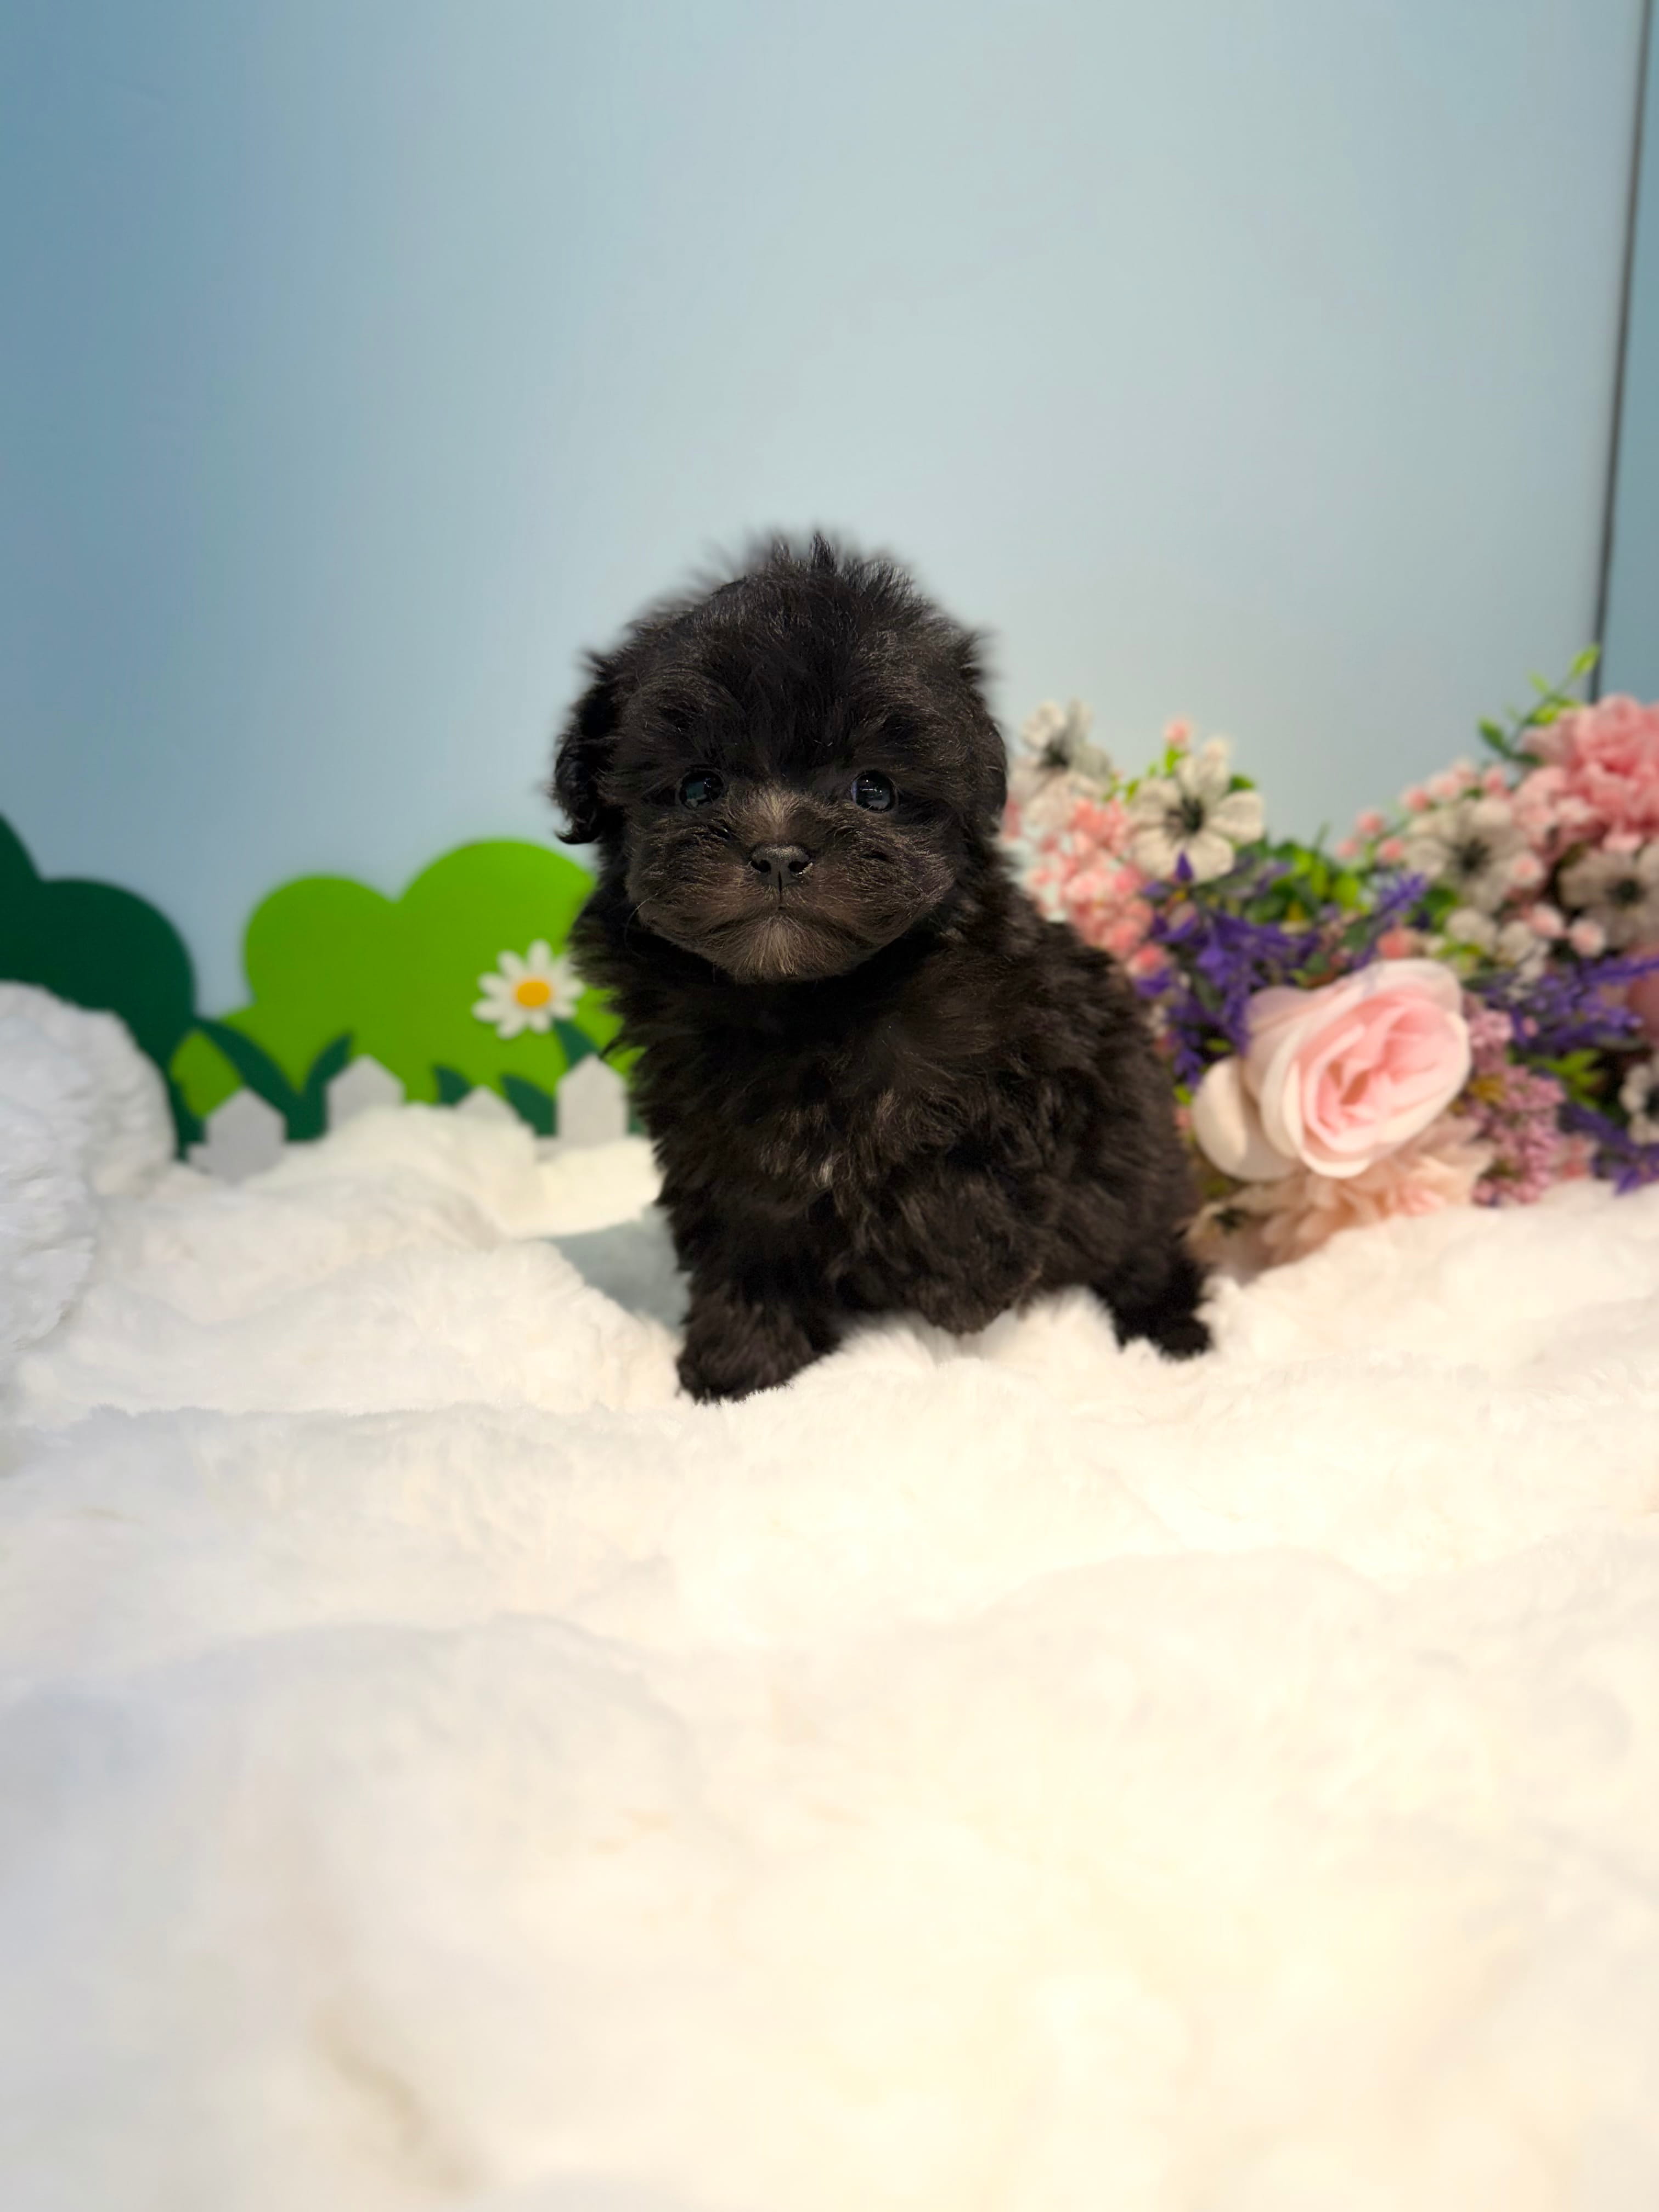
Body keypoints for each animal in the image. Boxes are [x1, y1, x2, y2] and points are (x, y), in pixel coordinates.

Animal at [552, 535, 1209, 1401]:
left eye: (875, 790)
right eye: (698, 786)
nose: (778, 851)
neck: (808, 1002)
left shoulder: (1040, 1049)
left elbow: (956, 1166)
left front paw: (961, 1285)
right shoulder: (719, 1145)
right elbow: (747, 1246)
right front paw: (739, 1370)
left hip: (1140, 1167)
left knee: (1143, 1246)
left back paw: (1168, 1332)